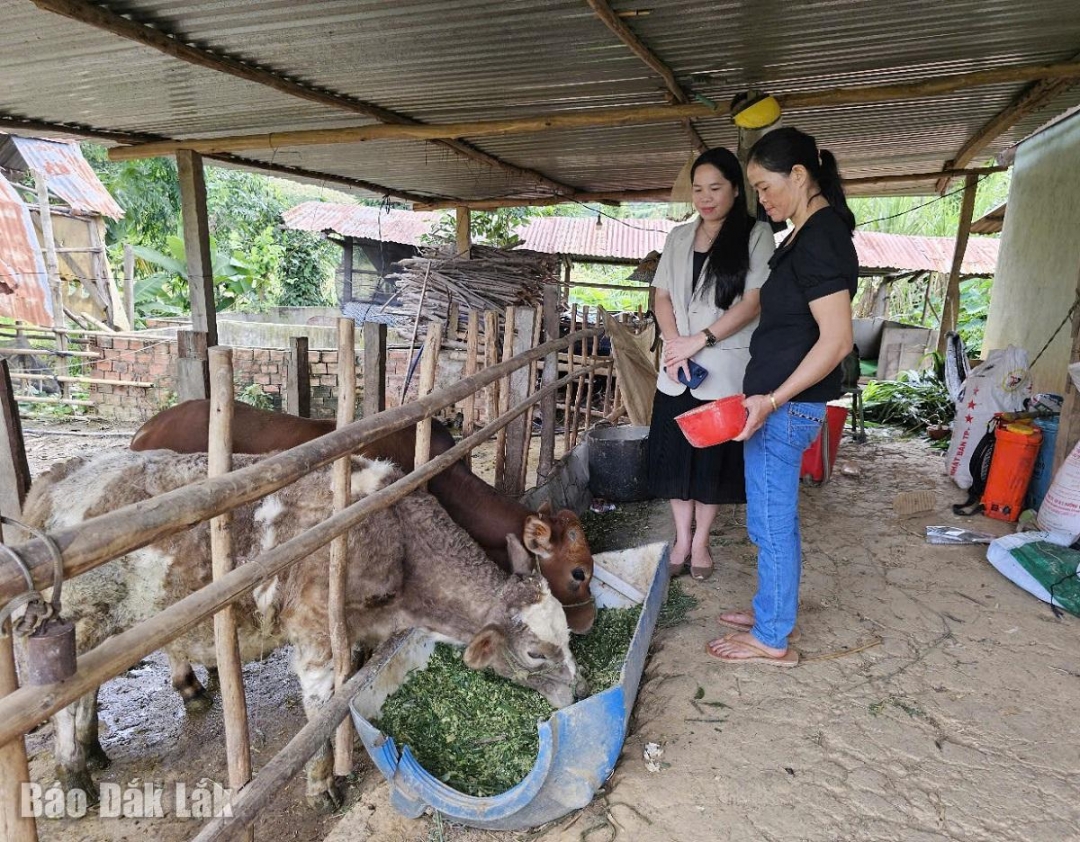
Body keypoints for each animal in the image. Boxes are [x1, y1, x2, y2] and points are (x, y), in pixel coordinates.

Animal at [21, 451, 583, 811]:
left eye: (567, 636)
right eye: (535, 653)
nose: (575, 691)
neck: (398, 541)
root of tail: (60, 476)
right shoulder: (313, 633)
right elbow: (319, 711)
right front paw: (322, 787)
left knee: (88, 692)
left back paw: (93, 751)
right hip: (83, 621)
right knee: (65, 702)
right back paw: (74, 778)